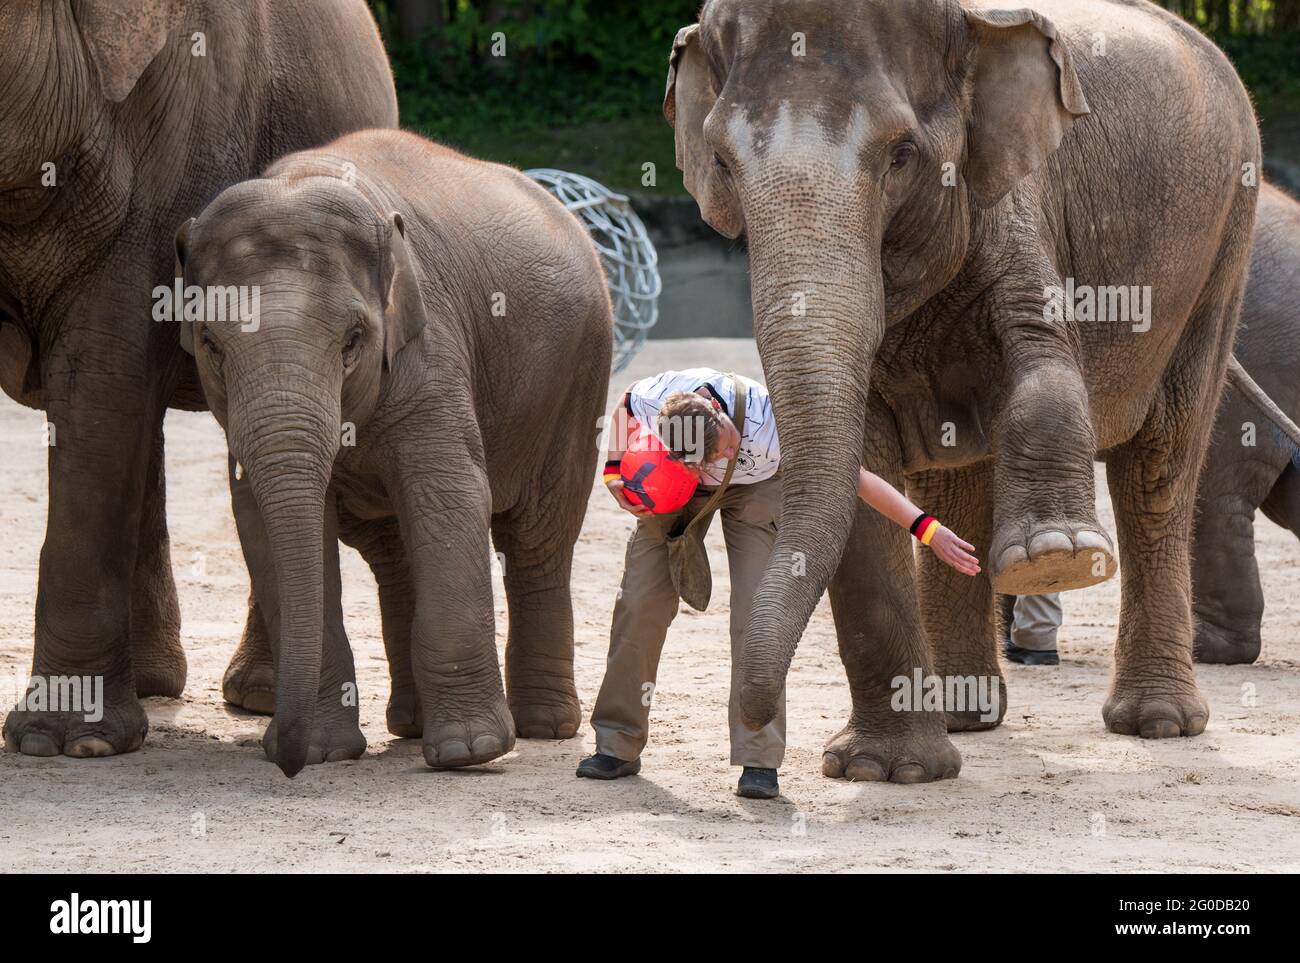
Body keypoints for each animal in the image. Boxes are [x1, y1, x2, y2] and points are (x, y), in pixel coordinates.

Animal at [174, 128, 613, 774]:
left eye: (353, 339)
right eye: (209, 342)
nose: (285, 757)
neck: (303, 178)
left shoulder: (431, 351)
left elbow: (450, 496)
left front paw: (469, 753)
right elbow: (259, 521)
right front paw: (327, 752)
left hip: (580, 377)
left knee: (538, 538)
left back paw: (544, 727)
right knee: (396, 554)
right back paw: (411, 725)